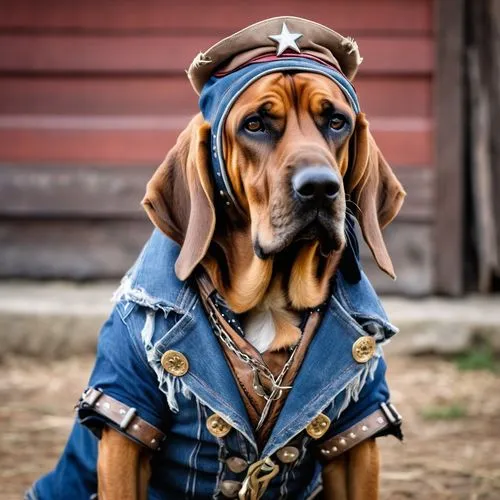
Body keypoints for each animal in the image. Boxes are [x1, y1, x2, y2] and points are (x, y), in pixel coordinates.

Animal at [97, 72, 406, 498]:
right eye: (255, 125)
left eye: (336, 122)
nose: (320, 187)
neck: (270, 297)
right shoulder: (126, 425)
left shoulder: (355, 435)